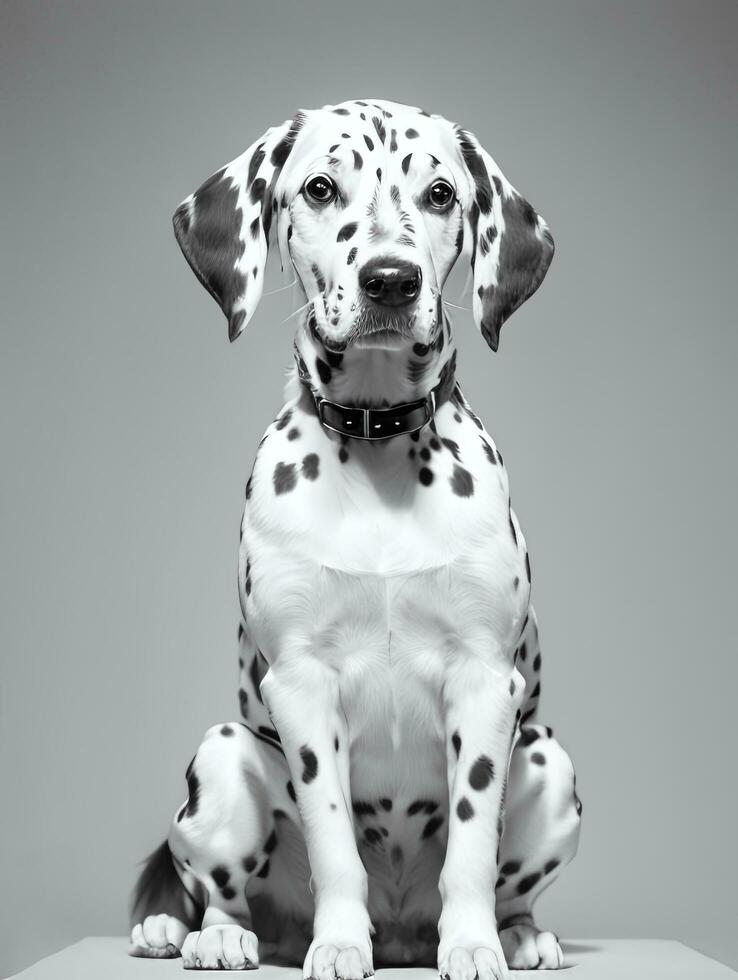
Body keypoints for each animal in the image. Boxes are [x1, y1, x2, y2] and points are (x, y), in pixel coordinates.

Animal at [131, 95, 580, 976]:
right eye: (319, 187)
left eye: (441, 194)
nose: (390, 279)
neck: (376, 444)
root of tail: (403, 930)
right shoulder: (302, 687)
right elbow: (334, 839)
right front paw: (339, 941)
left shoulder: (486, 683)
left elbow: (471, 846)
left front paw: (473, 945)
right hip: (224, 755)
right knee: (216, 890)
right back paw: (207, 934)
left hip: (549, 759)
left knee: (510, 879)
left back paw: (519, 933)